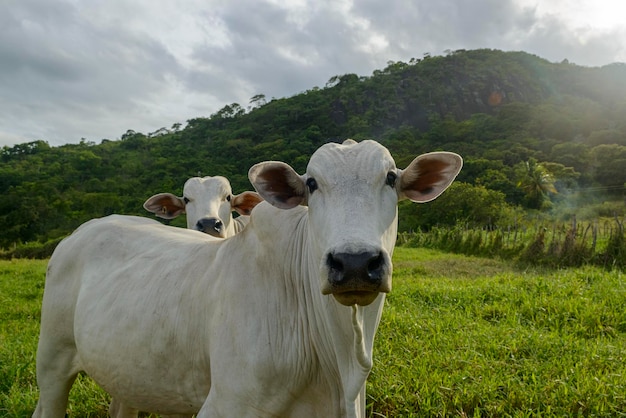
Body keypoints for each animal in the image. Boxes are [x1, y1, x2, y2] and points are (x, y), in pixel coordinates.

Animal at [34, 140, 460, 418]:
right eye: (311, 184)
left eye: (390, 178)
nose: (354, 262)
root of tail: (79, 233)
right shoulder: (225, 404)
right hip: (52, 359)